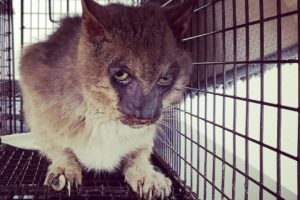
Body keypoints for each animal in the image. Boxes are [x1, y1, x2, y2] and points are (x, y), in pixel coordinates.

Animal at [14, 0, 195, 198]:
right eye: (122, 74)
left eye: (165, 78)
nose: (145, 117)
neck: (103, 117)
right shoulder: (40, 110)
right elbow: (59, 148)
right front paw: (64, 169)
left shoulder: (145, 136)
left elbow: (138, 155)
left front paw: (147, 175)